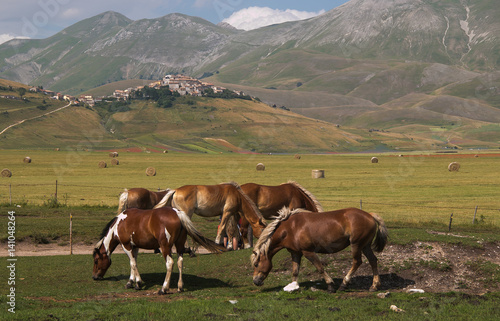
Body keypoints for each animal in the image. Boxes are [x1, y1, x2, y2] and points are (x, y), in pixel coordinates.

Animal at [92, 206, 225, 294]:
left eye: (96, 261)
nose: (94, 277)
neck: (119, 224)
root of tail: (177, 213)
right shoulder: (135, 247)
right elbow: (133, 263)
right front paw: (131, 282)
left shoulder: (126, 245)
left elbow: (132, 263)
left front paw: (138, 283)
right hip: (179, 246)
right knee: (180, 262)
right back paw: (180, 287)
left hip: (165, 247)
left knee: (170, 263)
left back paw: (164, 288)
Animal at [252, 208, 388, 292]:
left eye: (256, 264)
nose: (255, 281)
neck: (290, 228)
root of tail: (370, 215)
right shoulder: (295, 253)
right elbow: (295, 272)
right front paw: (293, 287)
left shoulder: (308, 252)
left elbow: (320, 268)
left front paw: (330, 286)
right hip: (365, 246)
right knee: (373, 261)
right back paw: (374, 286)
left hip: (356, 245)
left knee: (357, 262)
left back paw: (344, 284)